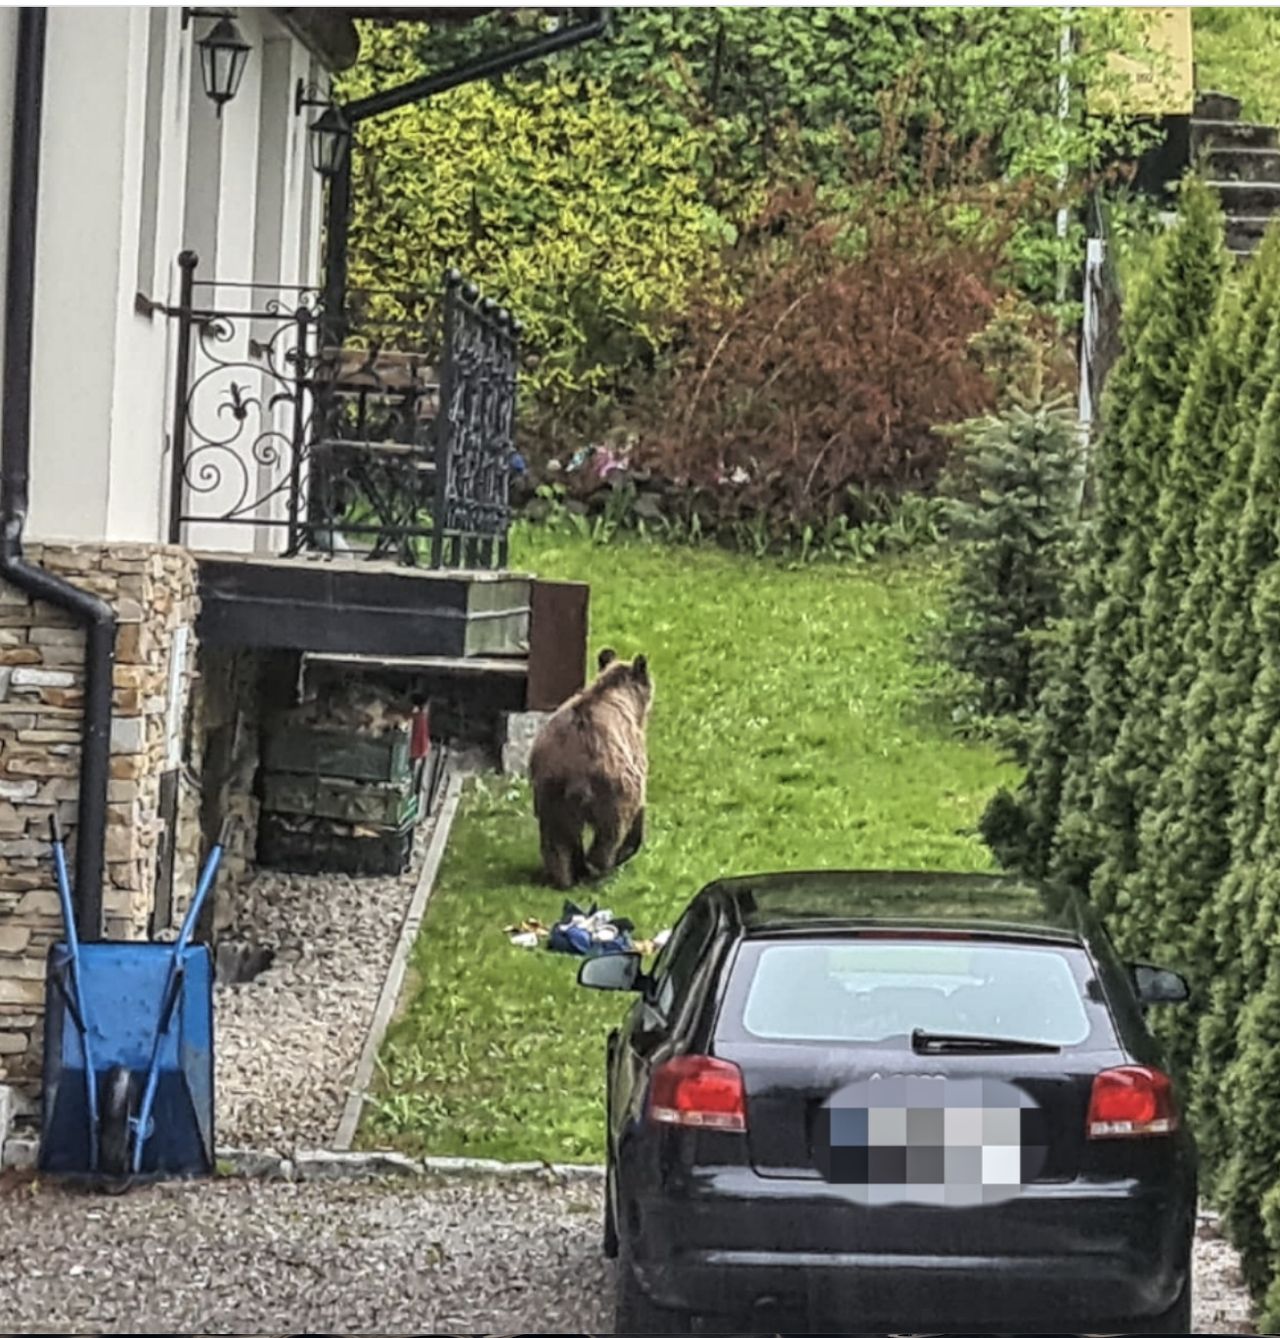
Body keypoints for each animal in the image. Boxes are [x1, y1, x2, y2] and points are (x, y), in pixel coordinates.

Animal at [526, 644, 655, 888]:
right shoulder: (634, 756)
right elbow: (638, 805)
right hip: (610, 787)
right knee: (609, 833)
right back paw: (603, 866)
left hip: (551, 790)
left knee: (558, 839)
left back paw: (566, 875)